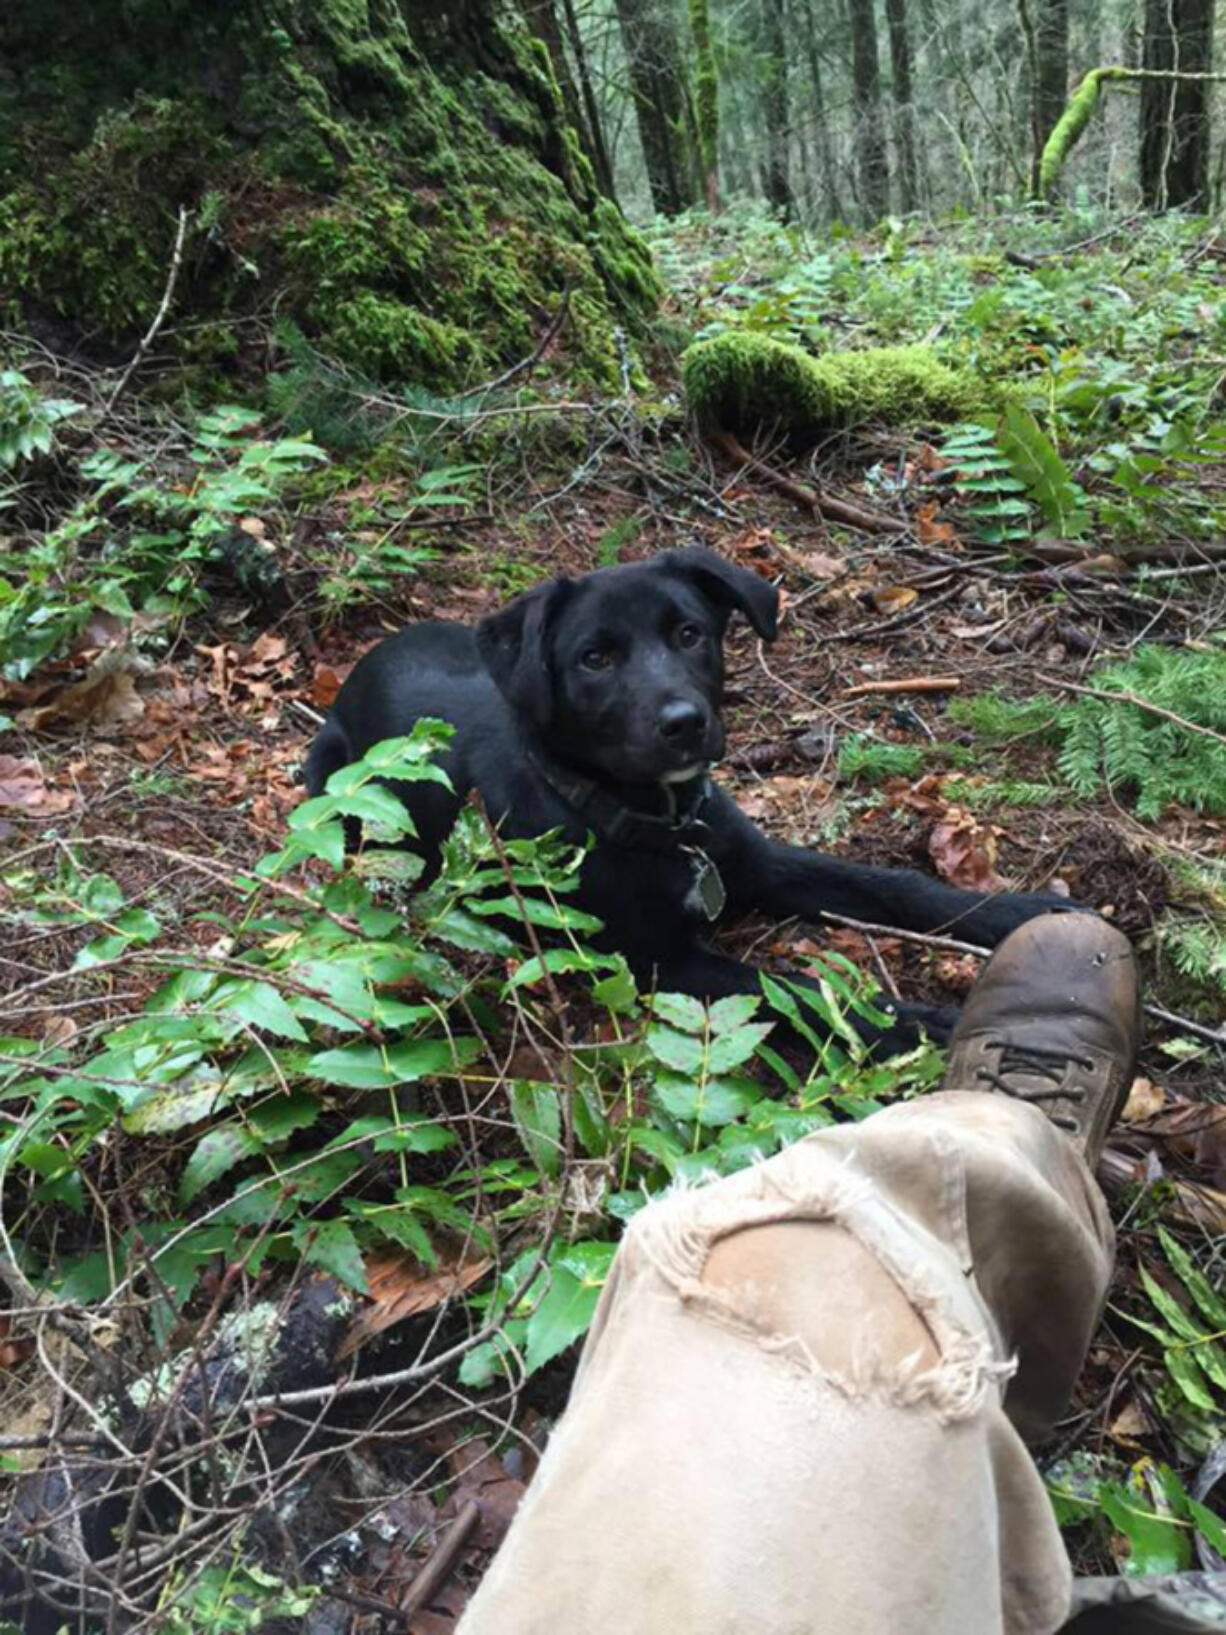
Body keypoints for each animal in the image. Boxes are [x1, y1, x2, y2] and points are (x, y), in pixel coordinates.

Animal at [307, 549, 1072, 1052]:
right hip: (325, 771)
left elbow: (891, 885)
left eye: (689, 633)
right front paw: (918, 1020)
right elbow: (783, 986)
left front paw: (1023, 912)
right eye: (594, 659)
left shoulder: (757, 861)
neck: (662, 821)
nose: (684, 723)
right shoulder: (660, 961)